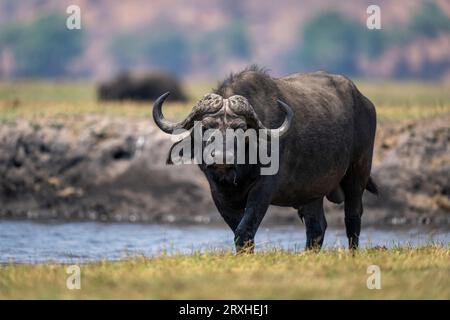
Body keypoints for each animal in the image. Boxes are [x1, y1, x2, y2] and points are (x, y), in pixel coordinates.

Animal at [153, 65, 378, 252]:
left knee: (353, 217)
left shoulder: (263, 190)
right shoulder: (218, 193)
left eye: (241, 129)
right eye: (206, 127)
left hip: (358, 172)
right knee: (317, 227)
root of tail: (365, 103)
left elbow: (244, 229)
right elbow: (238, 230)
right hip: (311, 192)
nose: (222, 157)